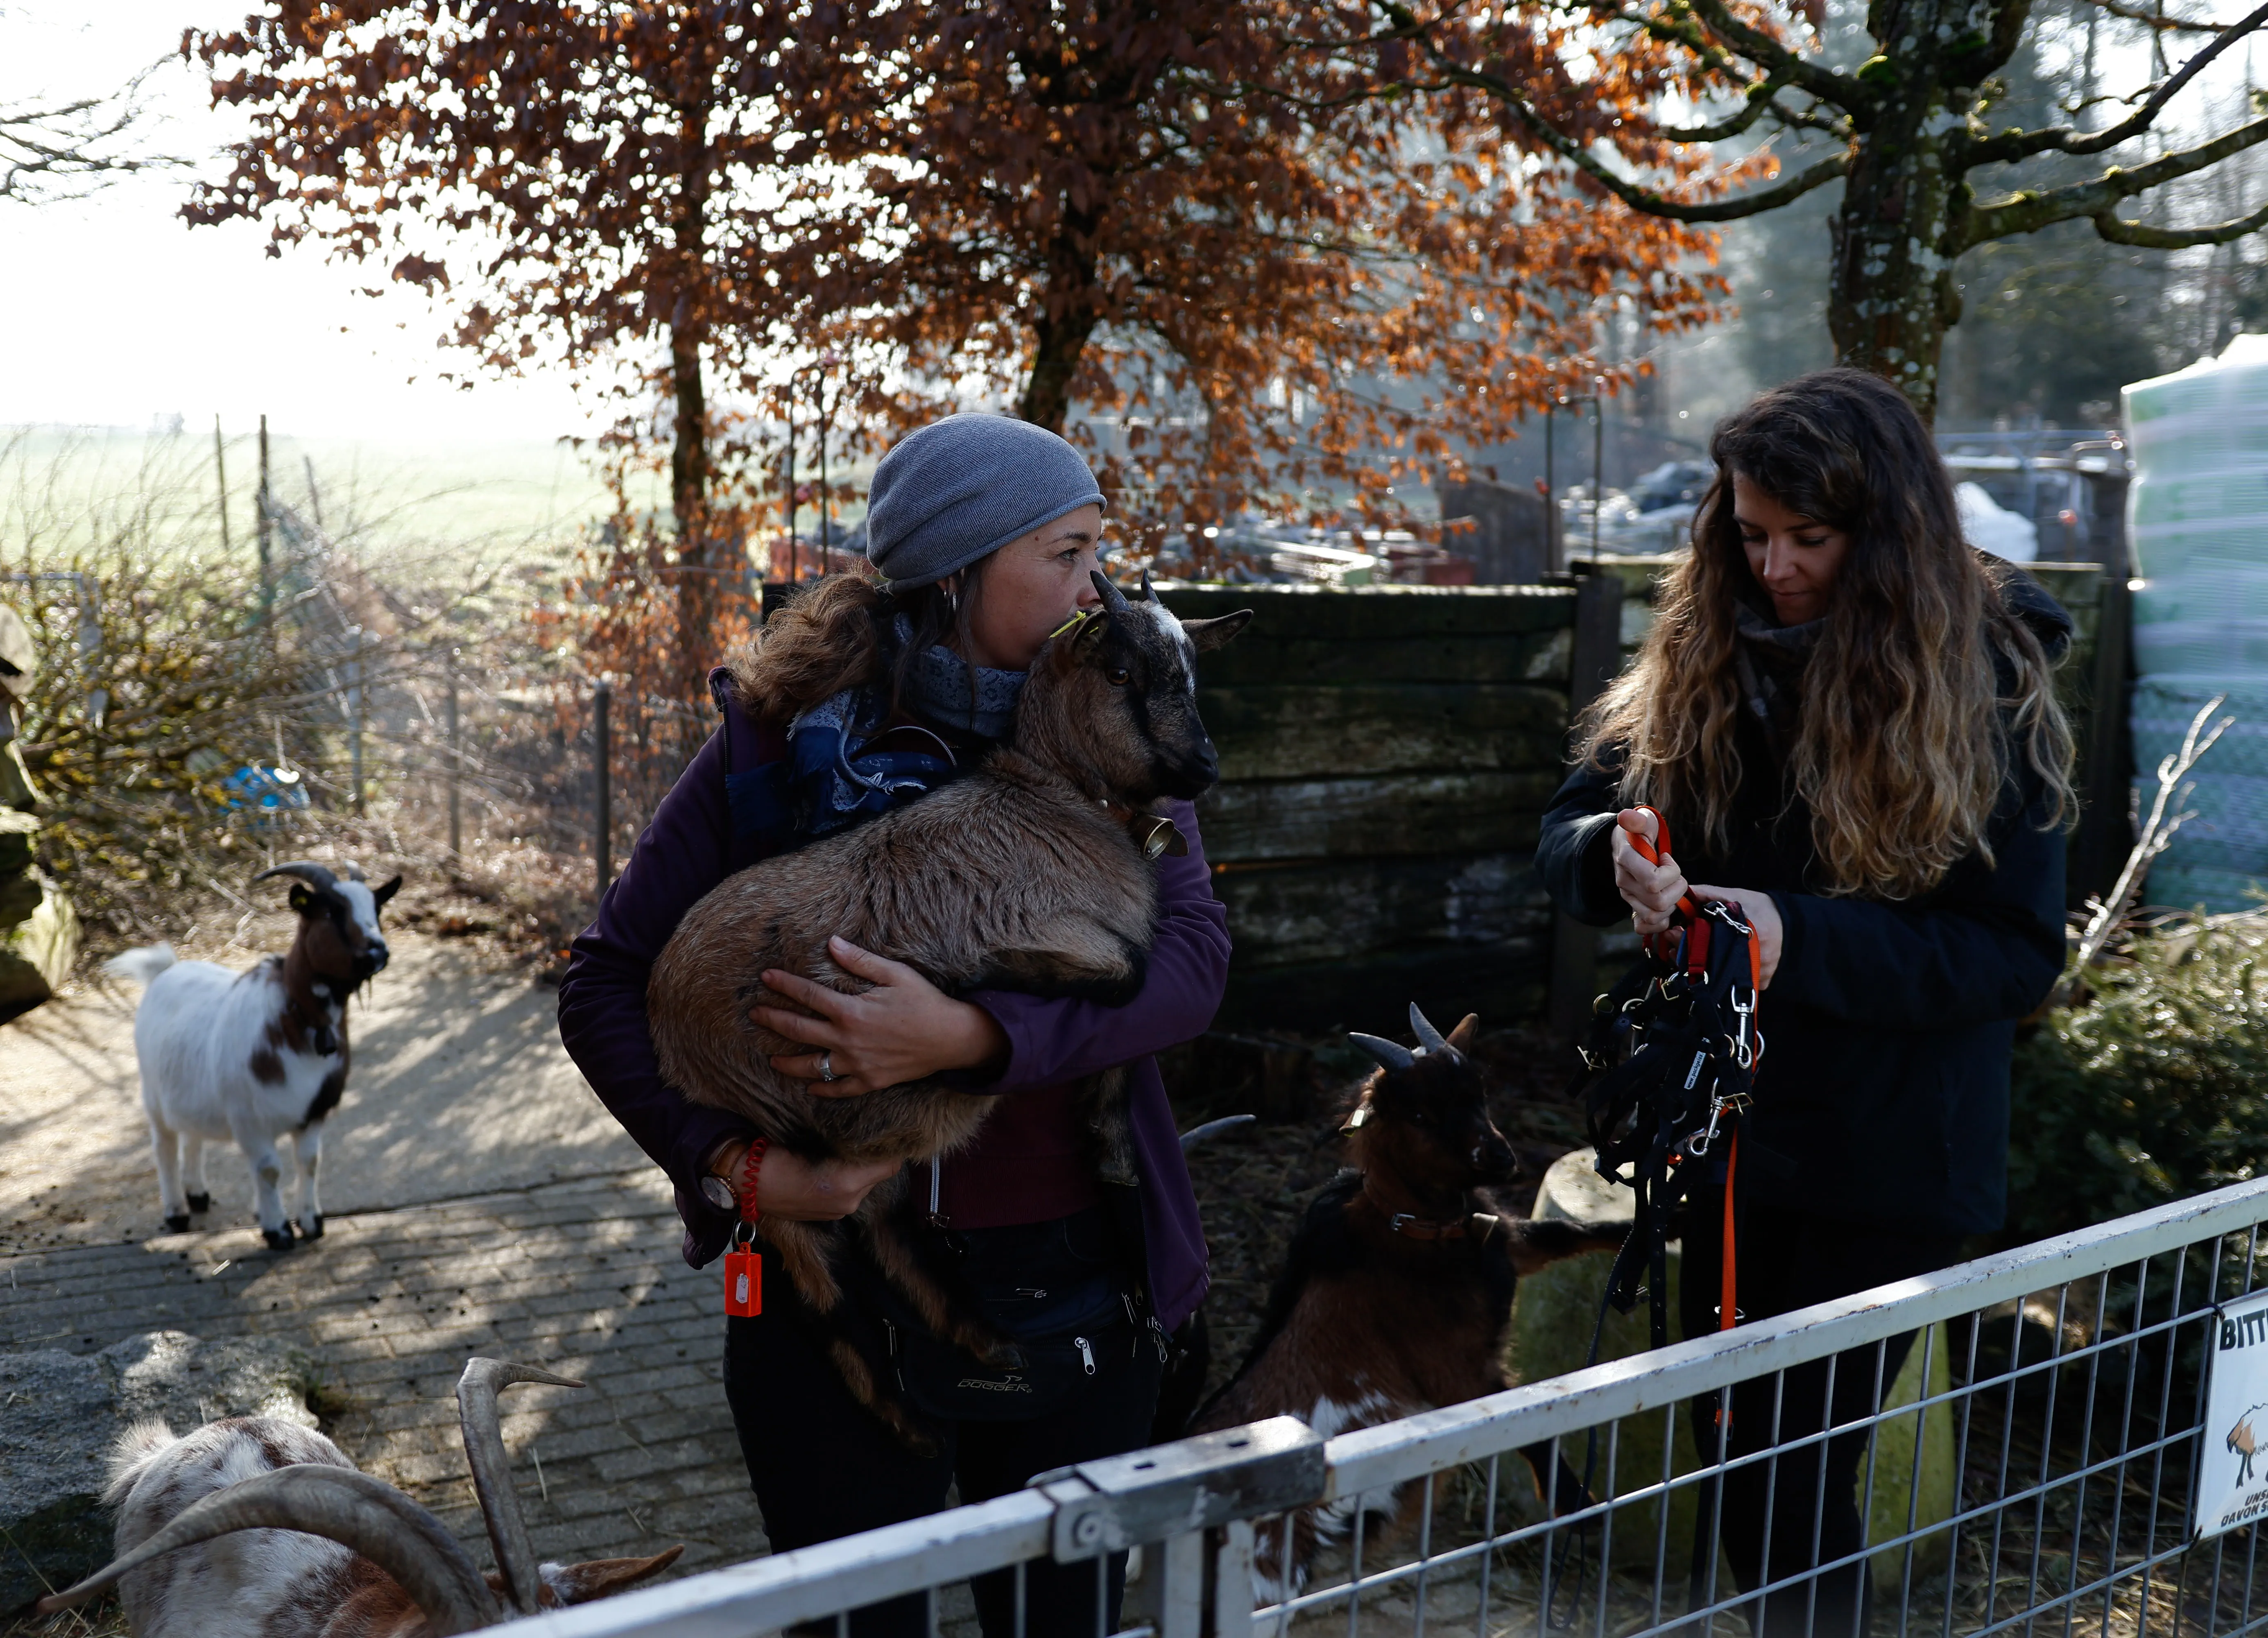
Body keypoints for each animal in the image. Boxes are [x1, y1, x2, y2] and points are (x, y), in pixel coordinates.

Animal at [107, 862, 403, 1243]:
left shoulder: (313, 1113)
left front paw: (312, 1222)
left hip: (190, 1091)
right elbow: (269, 1171)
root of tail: (166, 971)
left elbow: (310, 1162)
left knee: (192, 1137)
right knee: (165, 1147)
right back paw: (177, 1213)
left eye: (377, 908)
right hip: (153, 1096)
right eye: (332, 911)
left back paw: (198, 1194)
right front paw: (278, 1230)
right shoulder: (250, 1120)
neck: (294, 1022)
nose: (378, 952)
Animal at [653, 567, 1261, 1434]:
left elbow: (1126, 1046)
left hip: (858, 1136)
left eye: (1192, 672)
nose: (1201, 767)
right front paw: (988, 977)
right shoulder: (1041, 913)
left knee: (880, 1225)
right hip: (768, 1119)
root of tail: (661, 1008)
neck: (1056, 797)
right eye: (1118, 673)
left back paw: (983, 1344)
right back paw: (900, 1400)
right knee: (814, 1274)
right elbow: (1129, 971)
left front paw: (1111, 1158)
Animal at [1188, 1002, 1633, 1588]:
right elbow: (1528, 1421)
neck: (1412, 1232)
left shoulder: (1502, 1241)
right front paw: (1580, 1505)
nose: (1500, 1157)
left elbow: (1568, 1234)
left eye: (1479, 1092)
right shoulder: (1454, 1370)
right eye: (1420, 1115)